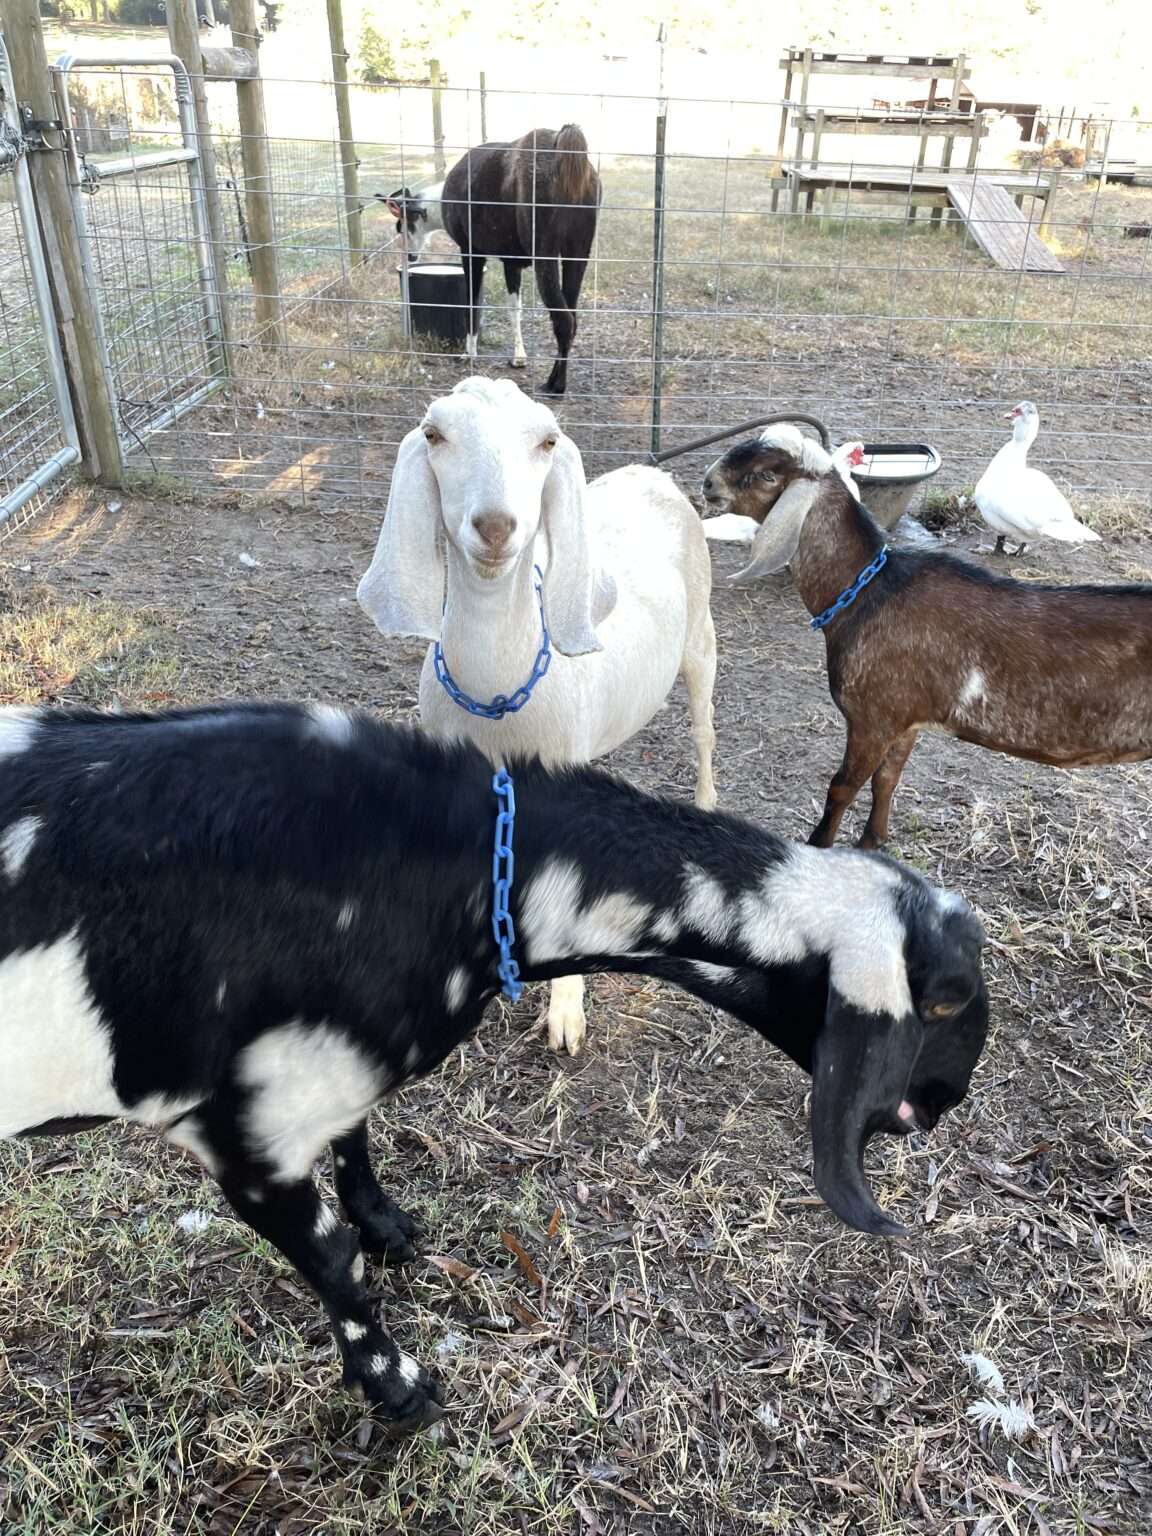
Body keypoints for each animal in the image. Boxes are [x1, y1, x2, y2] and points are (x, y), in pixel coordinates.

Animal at [0, 700, 988, 1434]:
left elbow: (358, 1141)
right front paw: (398, 1389)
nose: (942, 1105)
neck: (467, 871)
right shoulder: (244, 1135)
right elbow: (331, 1263)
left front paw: (388, 1225)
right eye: (944, 1000)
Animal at [357, 376, 717, 1055]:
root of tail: (653, 472)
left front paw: (566, 1014)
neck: (497, 696)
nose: (497, 526)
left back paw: (708, 800)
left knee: (704, 728)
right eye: (434, 434)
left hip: (701, 641)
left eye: (548, 440)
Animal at [382, 124, 600, 395]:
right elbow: (514, 308)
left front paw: (469, 353)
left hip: (545, 253)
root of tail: (563, 149)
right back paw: (556, 378)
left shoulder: (471, 251)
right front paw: (518, 357)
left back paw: (555, 385)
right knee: (573, 316)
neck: (441, 199)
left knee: (563, 319)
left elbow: (471, 302)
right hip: (577, 253)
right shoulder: (511, 262)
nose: (409, 256)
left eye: (401, 227)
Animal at [702, 426, 1152, 849]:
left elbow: (842, 787)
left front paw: (820, 846)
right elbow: (887, 780)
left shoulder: (872, 717)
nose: (708, 483)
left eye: (766, 475)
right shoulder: (906, 720)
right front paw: (872, 842)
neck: (868, 588)